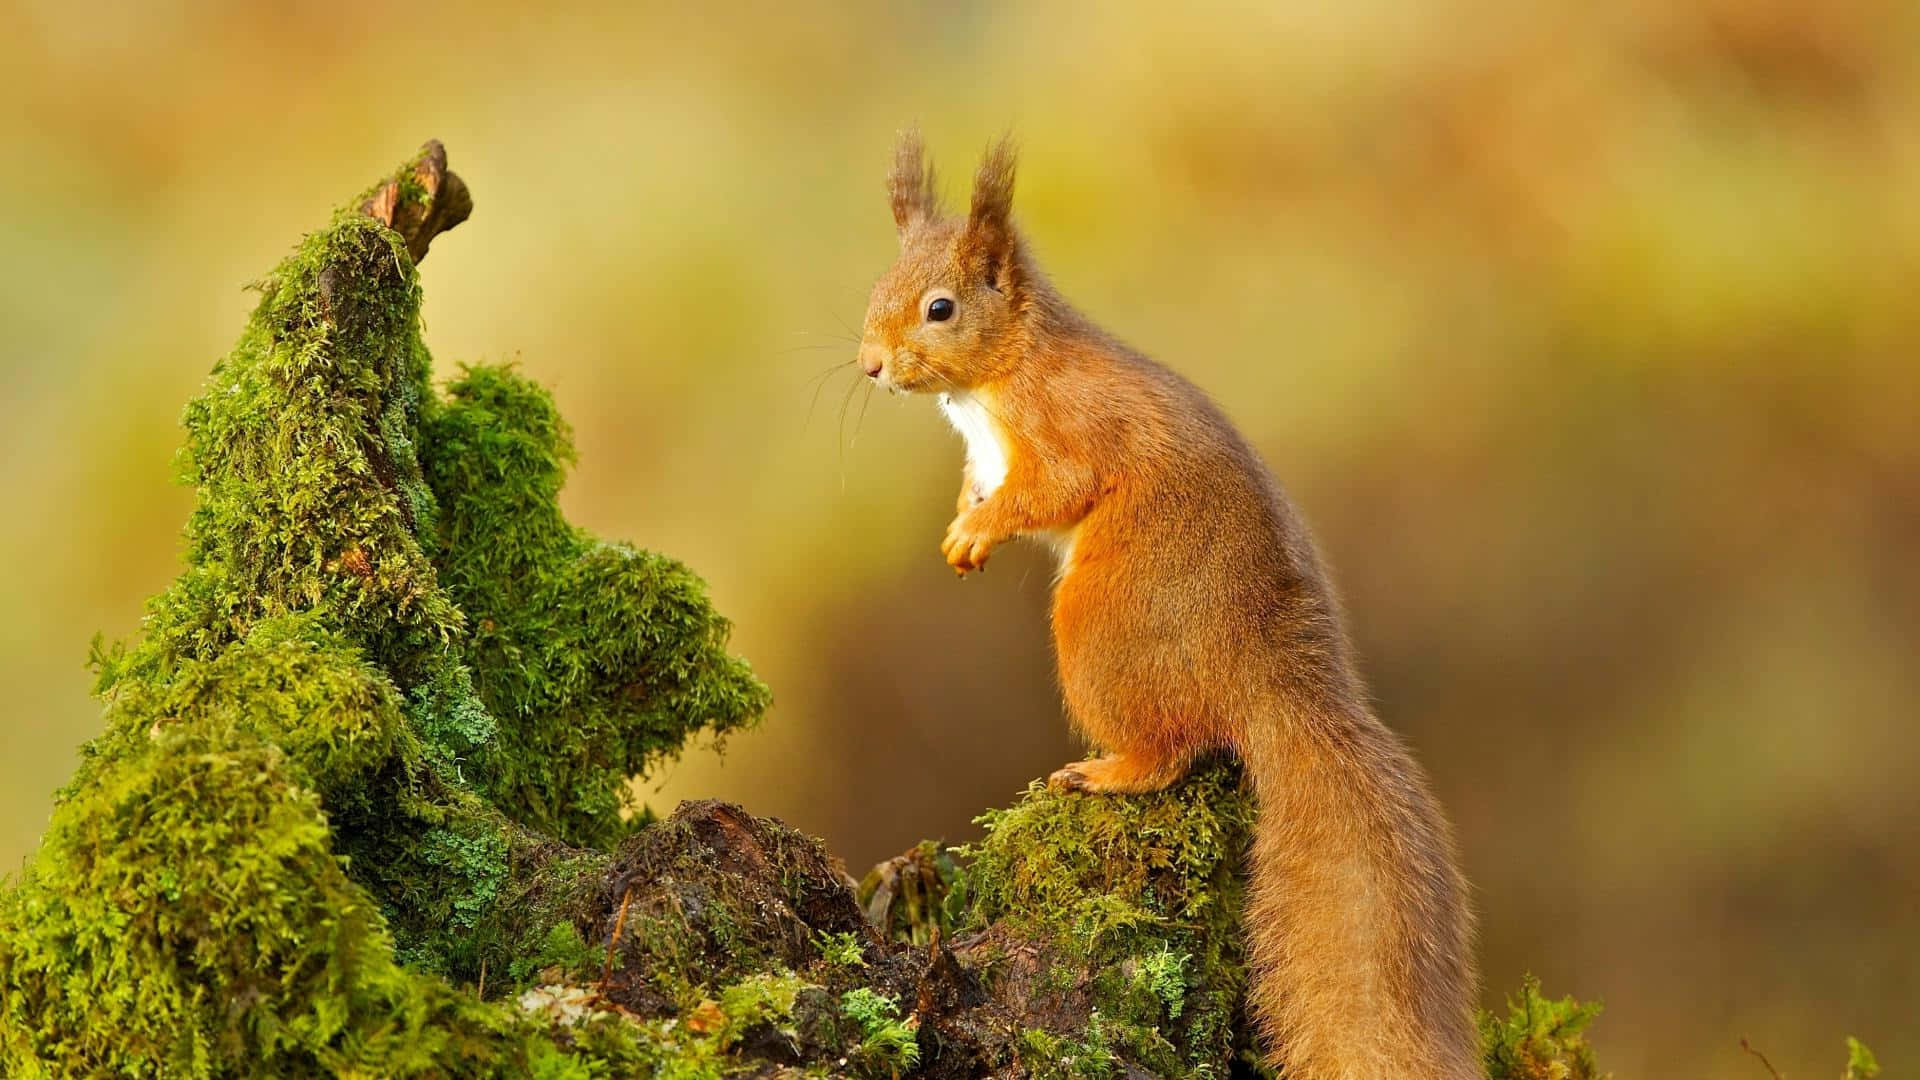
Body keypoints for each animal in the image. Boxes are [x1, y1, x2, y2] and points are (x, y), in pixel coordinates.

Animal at [856, 131, 1479, 1079]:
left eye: (940, 308)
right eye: (876, 289)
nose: (871, 365)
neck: (1000, 375)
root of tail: (1269, 683)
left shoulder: (1065, 429)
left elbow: (1051, 490)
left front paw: (982, 528)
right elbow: (978, 486)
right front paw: (963, 525)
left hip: (1101, 625)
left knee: (1173, 749)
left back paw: (1106, 771)